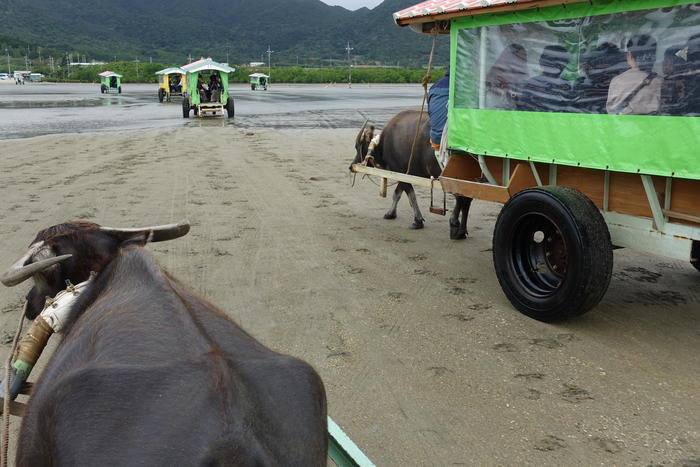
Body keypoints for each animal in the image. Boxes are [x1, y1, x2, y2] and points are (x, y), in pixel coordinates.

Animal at [352, 109, 474, 238]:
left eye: (358, 147)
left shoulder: (401, 171)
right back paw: (461, 230)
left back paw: (455, 226)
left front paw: (417, 220)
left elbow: (410, 196)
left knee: (462, 199)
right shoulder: (404, 173)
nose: (351, 166)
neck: (384, 143)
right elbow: (397, 193)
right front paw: (391, 213)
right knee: (466, 200)